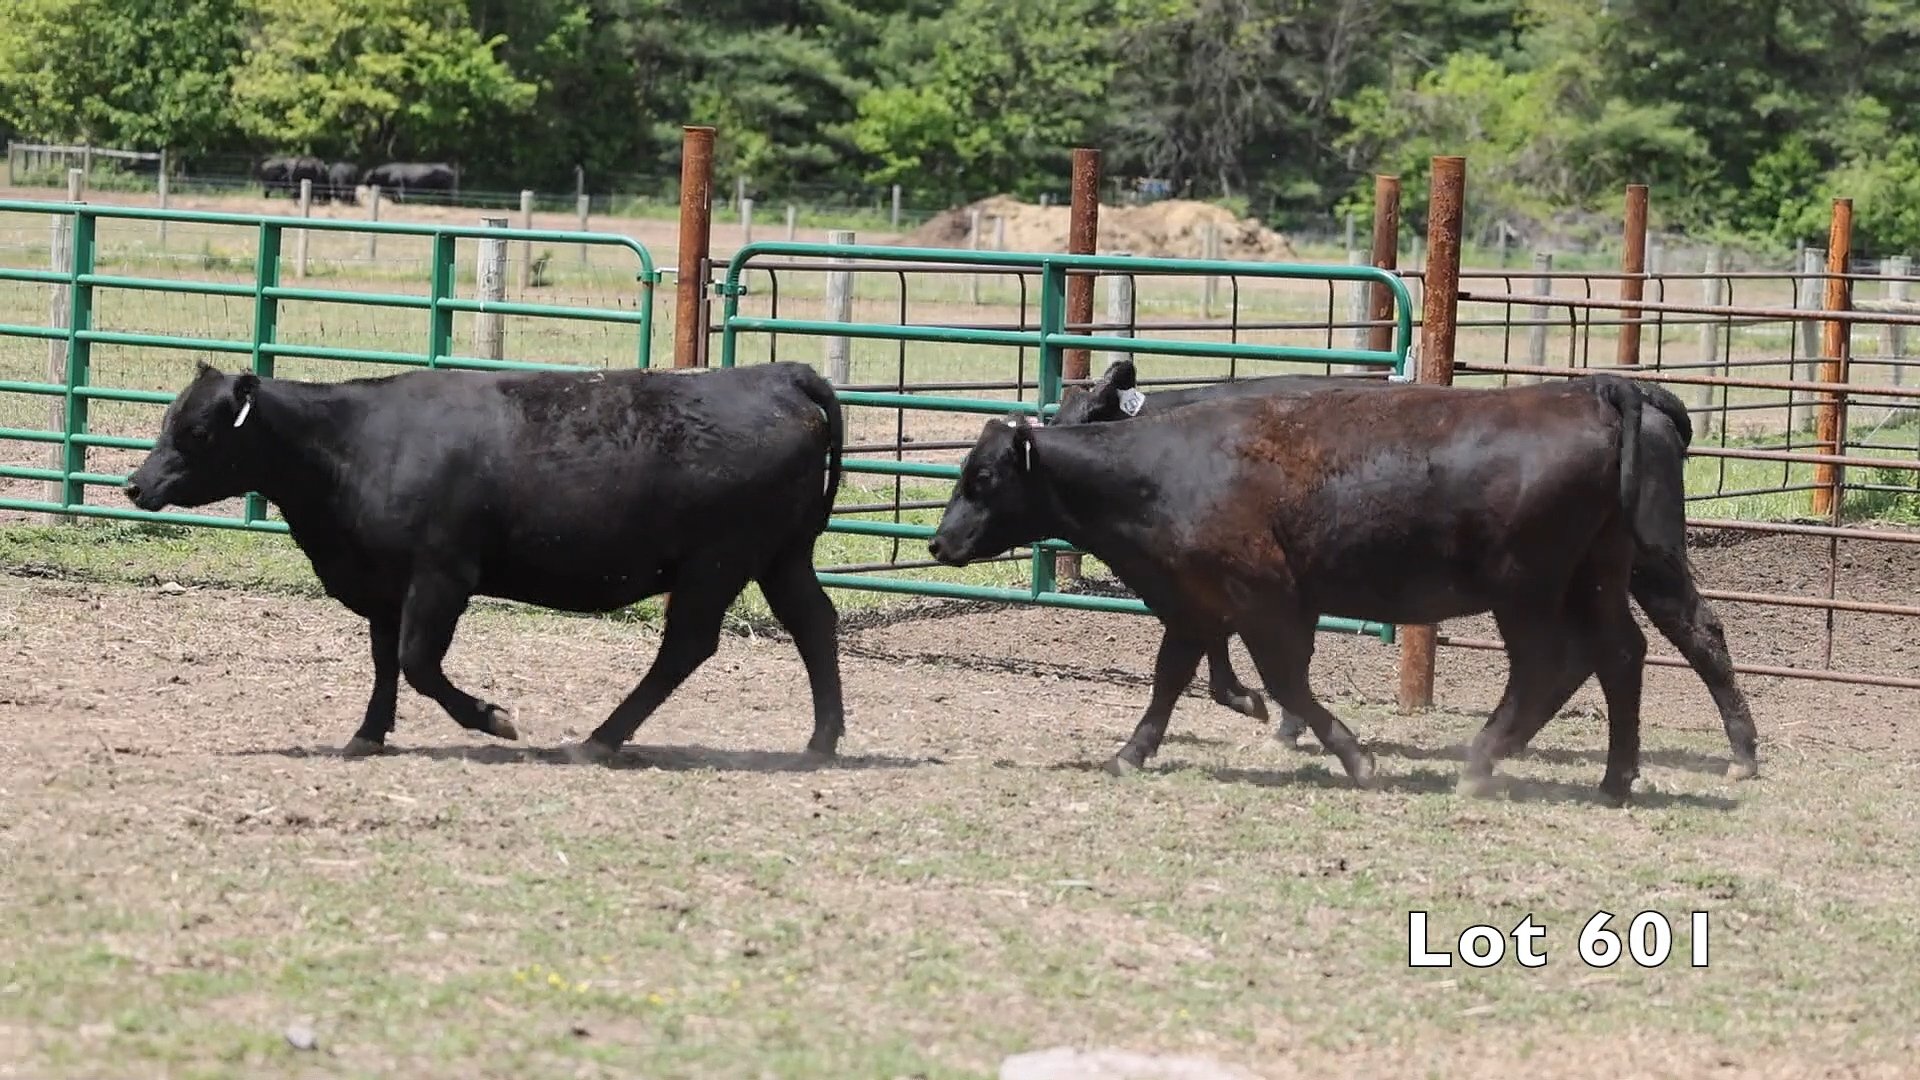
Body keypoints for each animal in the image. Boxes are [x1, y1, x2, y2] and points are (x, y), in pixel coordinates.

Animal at [123, 361, 848, 764]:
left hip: (716, 564)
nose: (135, 485)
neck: (355, 442)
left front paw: (492, 718)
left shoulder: (441, 576)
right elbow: (386, 661)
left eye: (197, 431)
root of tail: (776, 374)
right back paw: (820, 742)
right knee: (814, 623)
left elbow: (418, 662)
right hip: (781, 556)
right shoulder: (384, 585)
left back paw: (600, 740)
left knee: (687, 646)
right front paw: (368, 733)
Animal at [930, 375, 1674, 803]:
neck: (1164, 469)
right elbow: (1171, 677)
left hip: (1527, 589)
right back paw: (1613, 779)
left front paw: (1356, 757)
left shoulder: (1264, 601)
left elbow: (1286, 682)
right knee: (1619, 655)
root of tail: (1595, 401)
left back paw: (1483, 760)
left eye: (983, 478)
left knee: (1547, 665)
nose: (939, 544)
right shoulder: (1197, 603)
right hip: (1595, 578)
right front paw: (1131, 753)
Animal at [1049, 359, 1759, 783]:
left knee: (1651, 642)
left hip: (1599, 570)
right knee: (1674, 637)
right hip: (1631, 567)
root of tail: (1618, 391)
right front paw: (1255, 705)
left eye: (1078, 415)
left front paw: (1268, 716)